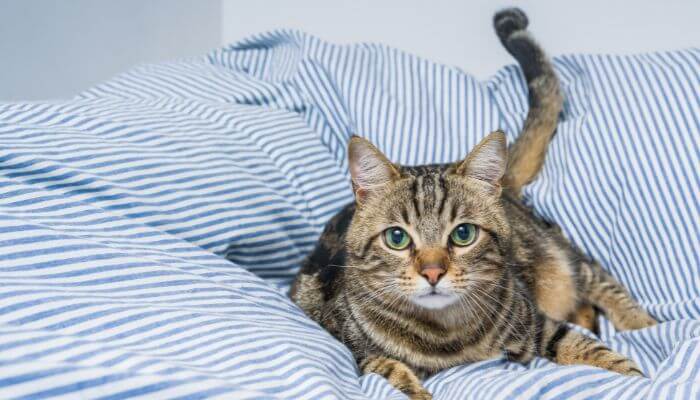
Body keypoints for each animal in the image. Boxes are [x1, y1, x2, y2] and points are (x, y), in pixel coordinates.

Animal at [290, 7, 656, 400]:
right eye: (397, 238)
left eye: (463, 234)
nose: (432, 272)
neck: (445, 337)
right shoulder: (354, 351)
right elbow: (388, 370)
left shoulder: (536, 321)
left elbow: (586, 346)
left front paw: (635, 377)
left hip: (560, 258)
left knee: (600, 282)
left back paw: (643, 323)